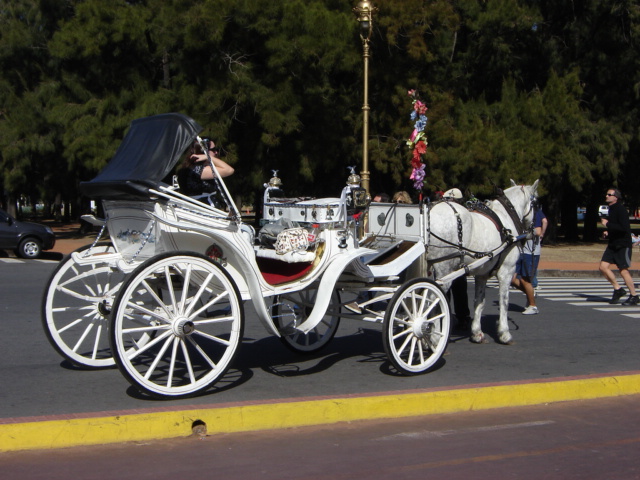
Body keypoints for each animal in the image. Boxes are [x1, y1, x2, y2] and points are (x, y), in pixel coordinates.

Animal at [424, 181, 540, 344]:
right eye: (537, 204)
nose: (533, 232)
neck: (506, 218)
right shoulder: (507, 271)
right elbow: (504, 300)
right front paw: (504, 333)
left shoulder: (481, 274)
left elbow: (479, 301)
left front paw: (476, 332)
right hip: (443, 269)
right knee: (433, 300)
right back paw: (434, 337)